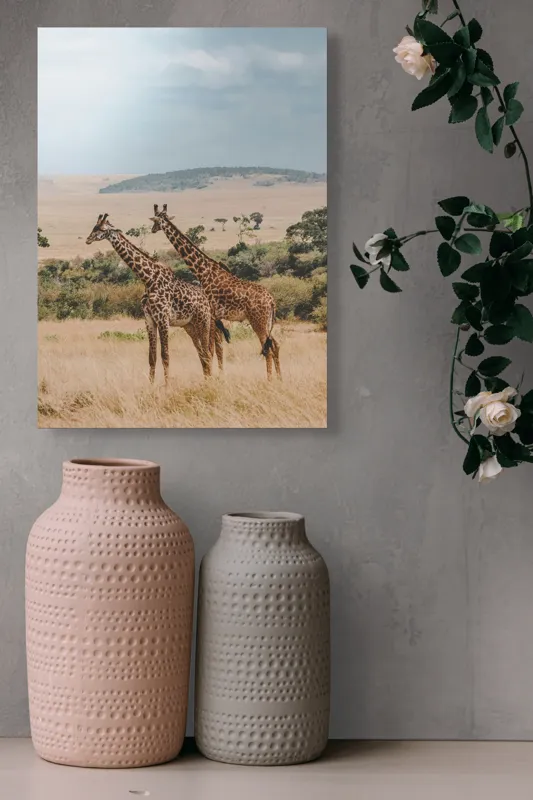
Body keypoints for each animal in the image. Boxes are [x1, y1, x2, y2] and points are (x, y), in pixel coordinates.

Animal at [86, 214, 217, 385]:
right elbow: (152, 357)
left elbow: (165, 356)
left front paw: (167, 386)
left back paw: (209, 381)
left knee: (208, 352)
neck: (148, 279)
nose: (88, 239)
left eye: (101, 229)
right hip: (190, 325)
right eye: (94, 227)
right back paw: (206, 380)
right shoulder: (149, 319)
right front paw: (151, 385)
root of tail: (209, 301)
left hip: (204, 321)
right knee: (202, 353)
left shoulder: (163, 319)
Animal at [150, 204, 281, 380]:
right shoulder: (215, 317)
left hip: (258, 321)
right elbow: (216, 348)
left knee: (267, 348)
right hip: (266, 322)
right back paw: (280, 379)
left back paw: (269, 380)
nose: (152, 230)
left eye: (156, 220)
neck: (203, 270)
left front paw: (211, 377)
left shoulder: (211, 315)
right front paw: (217, 376)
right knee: (275, 344)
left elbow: (211, 349)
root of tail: (272, 301)